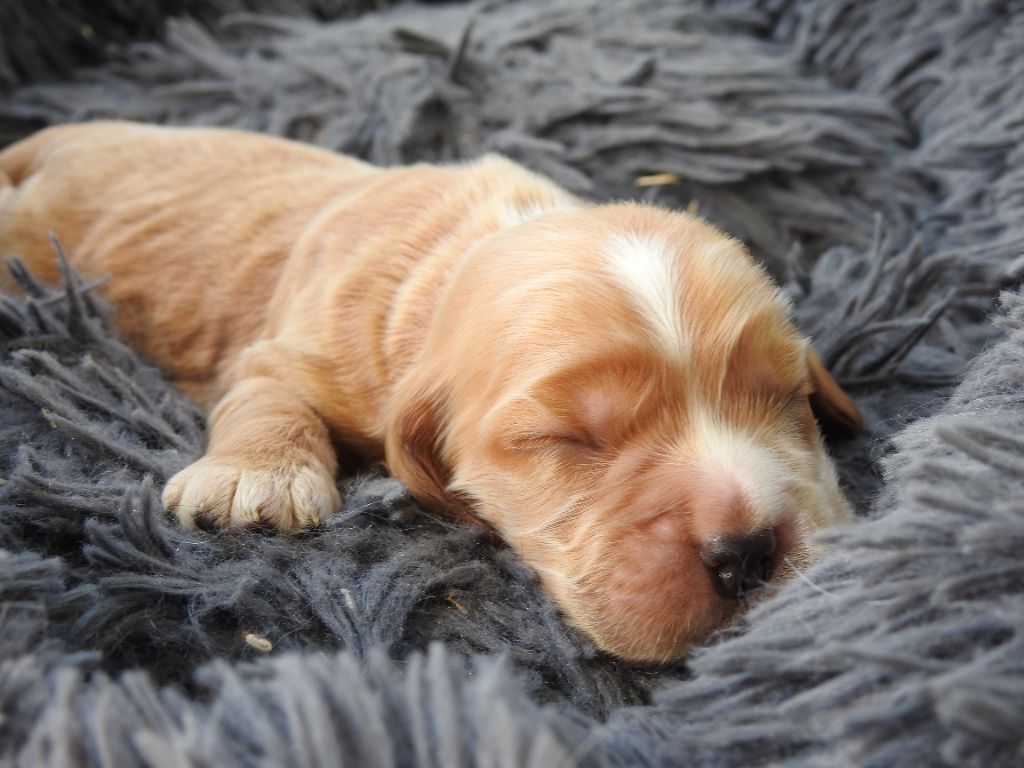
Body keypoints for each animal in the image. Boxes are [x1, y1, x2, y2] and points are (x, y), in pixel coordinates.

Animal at [0, 121, 860, 663]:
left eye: (786, 396)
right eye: (565, 439)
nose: (747, 552)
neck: (459, 252)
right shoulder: (293, 353)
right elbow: (265, 396)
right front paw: (255, 479)